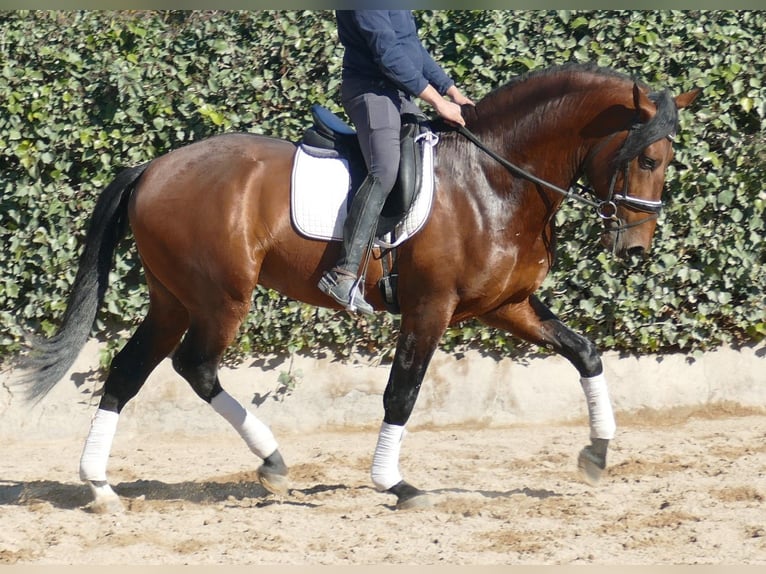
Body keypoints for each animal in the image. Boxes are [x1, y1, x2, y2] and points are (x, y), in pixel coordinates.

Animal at [17, 62, 699, 513]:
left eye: (669, 161)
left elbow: (585, 351)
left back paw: (101, 486)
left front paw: (597, 454)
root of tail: (153, 166)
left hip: (172, 299)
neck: (494, 177)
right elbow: (402, 393)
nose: (636, 248)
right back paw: (271, 463)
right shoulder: (430, 308)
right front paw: (394, 484)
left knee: (129, 370)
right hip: (219, 298)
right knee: (195, 367)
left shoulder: (504, 305)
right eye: (646, 158)